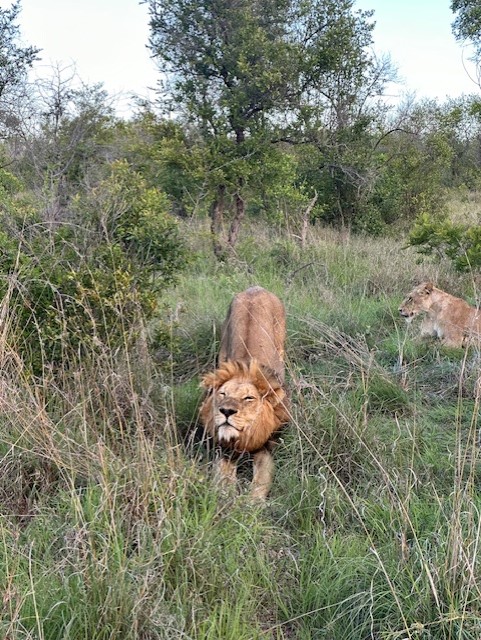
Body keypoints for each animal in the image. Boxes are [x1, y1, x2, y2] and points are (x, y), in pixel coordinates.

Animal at [199, 284, 288, 500]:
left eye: (248, 398)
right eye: (222, 394)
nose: (226, 411)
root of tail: (256, 287)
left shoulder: (267, 447)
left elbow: (261, 480)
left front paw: (251, 503)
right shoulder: (223, 449)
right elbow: (223, 478)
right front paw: (226, 498)